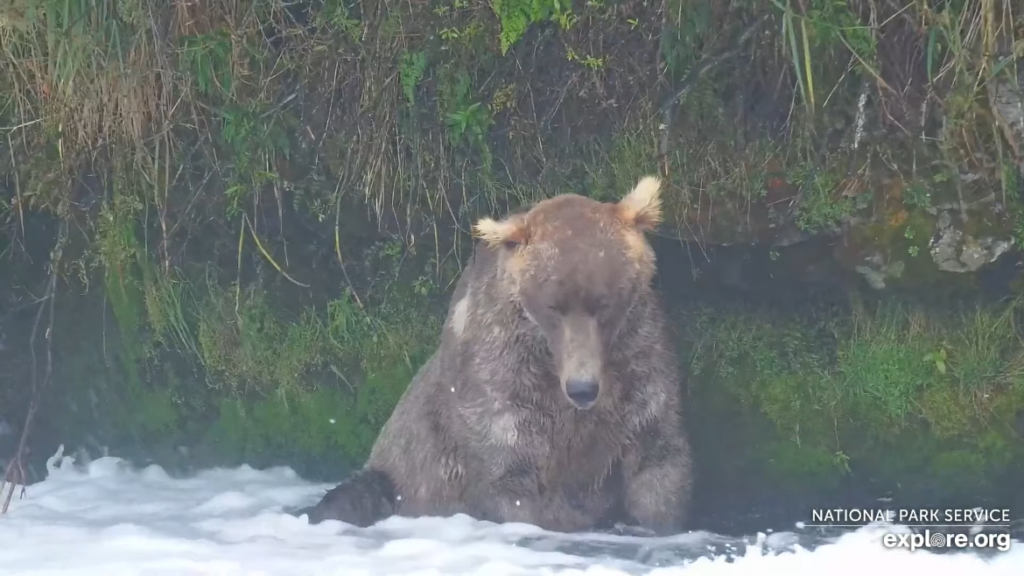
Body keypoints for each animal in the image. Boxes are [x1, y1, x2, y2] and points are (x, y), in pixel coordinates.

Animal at [299, 175, 692, 532]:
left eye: (605, 302)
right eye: (553, 306)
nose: (582, 388)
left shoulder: (639, 366)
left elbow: (658, 463)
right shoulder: (502, 383)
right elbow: (508, 476)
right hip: (392, 473)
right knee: (356, 494)